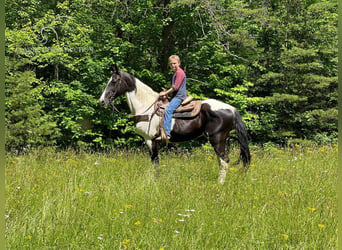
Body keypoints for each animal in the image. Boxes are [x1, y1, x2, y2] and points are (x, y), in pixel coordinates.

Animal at [99, 64, 251, 184]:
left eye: (114, 81)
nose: (102, 101)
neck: (146, 106)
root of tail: (231, 109)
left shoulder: (150, 140)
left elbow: (155, 162)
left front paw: (155, 181)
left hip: (217, 139)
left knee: (224, 161)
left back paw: (220, 184)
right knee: (221, 161)